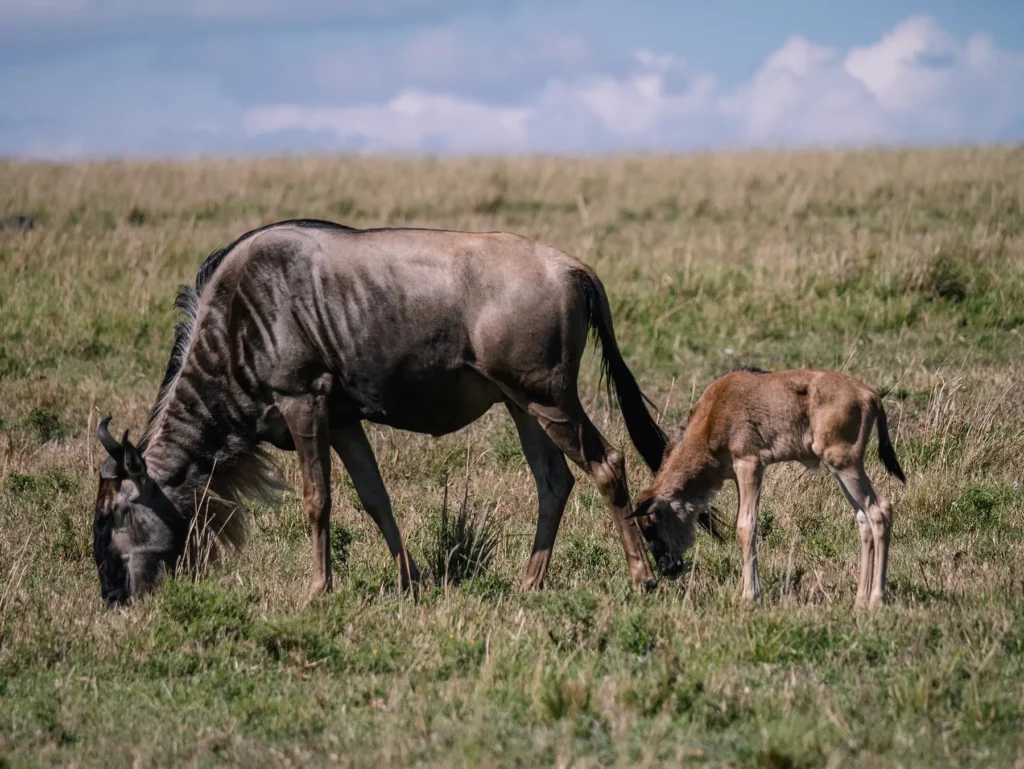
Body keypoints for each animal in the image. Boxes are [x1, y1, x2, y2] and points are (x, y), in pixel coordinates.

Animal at [93, 219, 709, 607]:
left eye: (115, 516)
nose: (112, 597)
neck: (238, 321)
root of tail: (574, 268)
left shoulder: (302, 401)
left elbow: (317, 500)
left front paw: (317, 591)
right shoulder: (342, 418)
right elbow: (374, 498)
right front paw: (409, 582)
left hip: (550, 399)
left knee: (606, 463)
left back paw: (641, 577)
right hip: (521, 404)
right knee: (553, 480)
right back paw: (529, 583)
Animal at [629, 367, 905, 610]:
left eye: (652, 521)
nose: (666, 568)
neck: (715, 412)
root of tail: (869, 395)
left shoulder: (749, 464)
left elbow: (745, 526)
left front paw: (750, 596)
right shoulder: (741, 474)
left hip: (845, 464)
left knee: (879, 510)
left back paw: (876, 600)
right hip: (841, 468)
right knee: (864, 517)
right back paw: (859, 602)